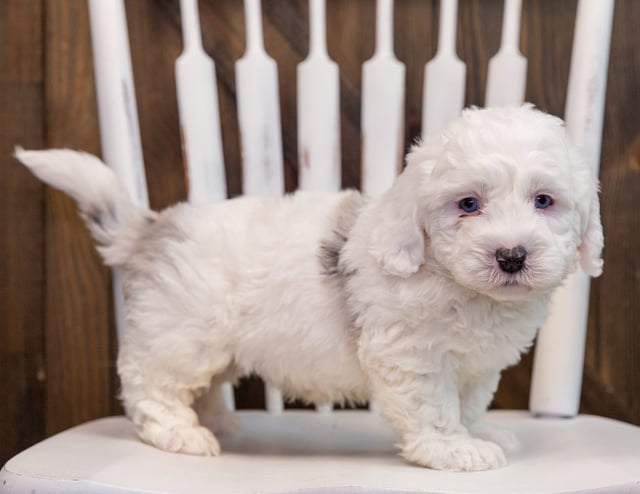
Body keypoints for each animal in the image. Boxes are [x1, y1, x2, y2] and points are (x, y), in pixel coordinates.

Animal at [17, 105, 604, 470]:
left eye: (544, 201)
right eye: (468, 204)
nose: (511, 255)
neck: (455, 281)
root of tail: (155, 227)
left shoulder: (476, 365)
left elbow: (471, 402)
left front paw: (480, 431)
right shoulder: (412, 356)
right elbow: (434, 407)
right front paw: (453, 449)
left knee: (200, 386)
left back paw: (217, 422)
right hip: (181, 335)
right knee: (151, 384)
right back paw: (181, 432)